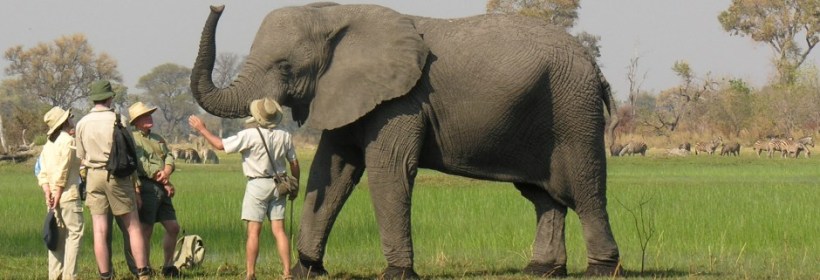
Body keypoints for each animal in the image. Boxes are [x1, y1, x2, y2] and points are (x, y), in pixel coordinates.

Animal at [189, 3, 620, 278]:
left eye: (285, 67)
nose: (216, 6)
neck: (334, 14)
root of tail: (596, 68)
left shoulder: (402, 99)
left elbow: (388, 169)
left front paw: (397, 273)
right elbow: (333, 169)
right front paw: (305, 270)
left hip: (572, 109)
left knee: (585, 189)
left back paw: (600, 271)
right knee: (543, 197)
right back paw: (541, 270)